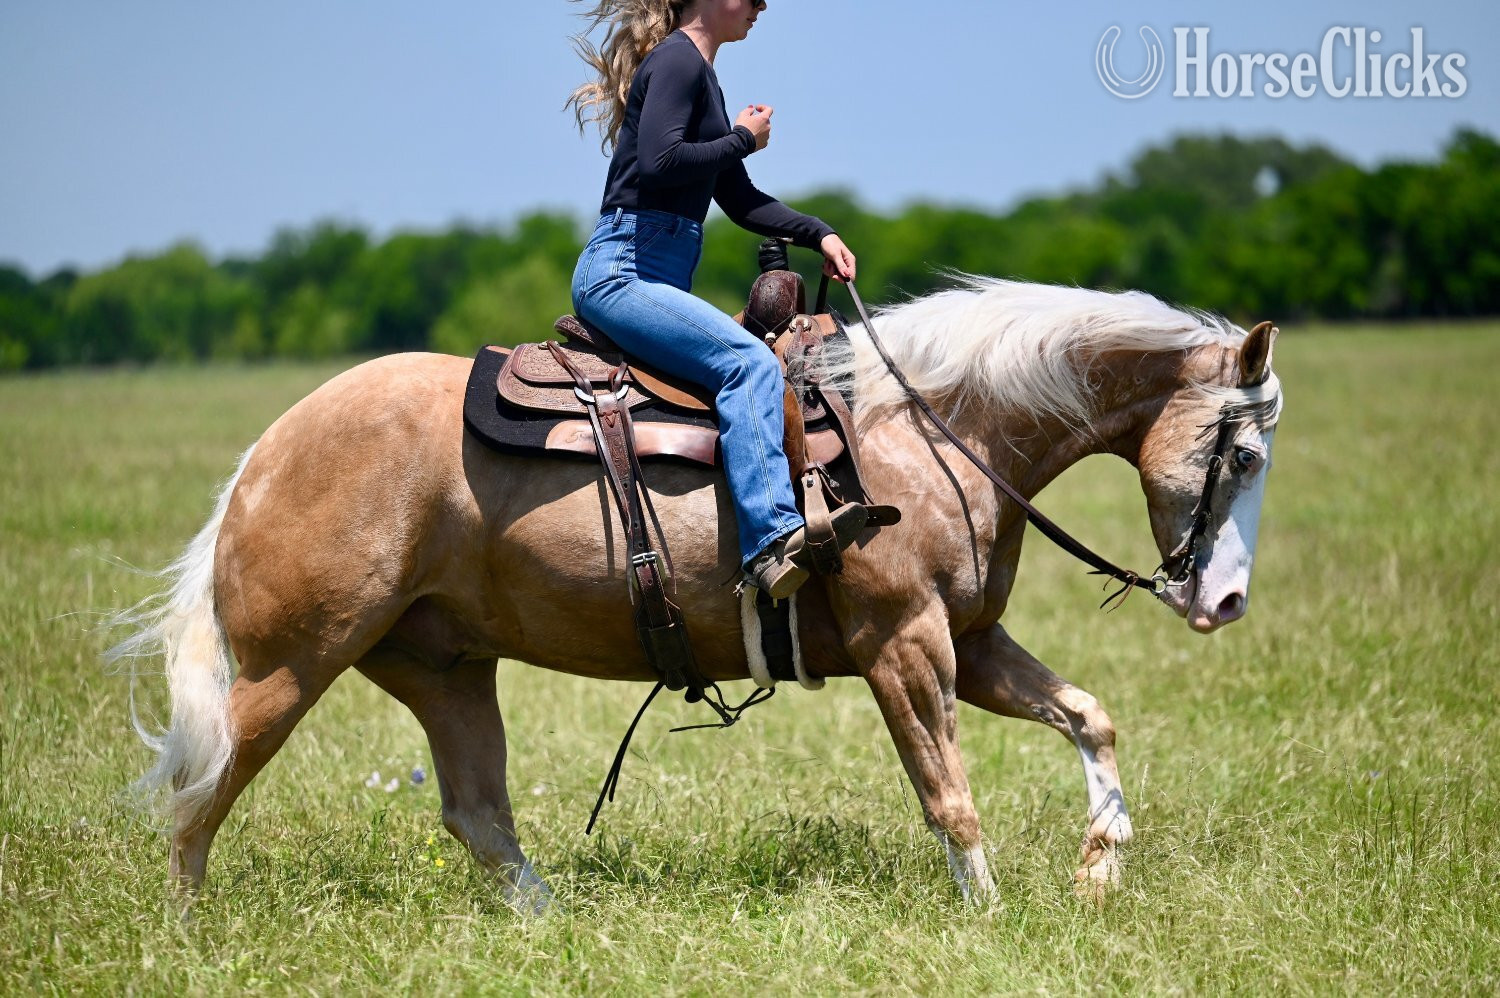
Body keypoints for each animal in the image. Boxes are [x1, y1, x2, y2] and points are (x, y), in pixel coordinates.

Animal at [113, 276, 1283, 912]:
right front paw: (990, 916)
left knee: (476, 814)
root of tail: (266, 452)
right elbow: (947, 791)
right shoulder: (904, 644)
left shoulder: (975, 641)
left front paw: (1100, 867)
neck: (929, 428)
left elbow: (1090, 716)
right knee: (202, 790)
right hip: (291, 665)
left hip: (445, 668)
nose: (1227, 602)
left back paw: (558, 924)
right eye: (1248, 452)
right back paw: (186, 929)